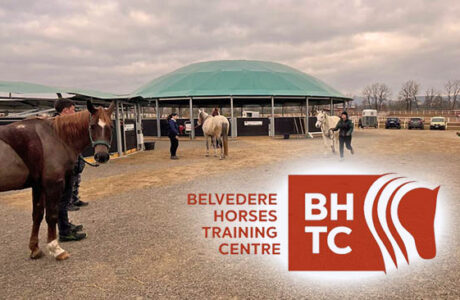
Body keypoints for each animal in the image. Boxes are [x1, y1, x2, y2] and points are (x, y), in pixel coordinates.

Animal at [0, 101, 115, 260]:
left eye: (111, 126)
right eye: (92, 126)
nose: (102, 156)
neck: (54, 137)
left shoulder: (38, 186)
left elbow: (37, 215)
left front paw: (35, 249)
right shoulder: (53, 184)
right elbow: (52, 215)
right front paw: (56, 249)